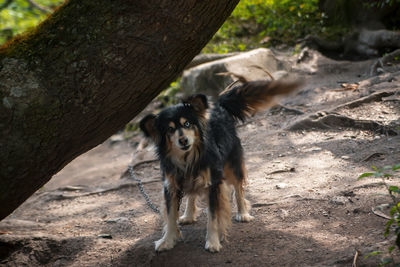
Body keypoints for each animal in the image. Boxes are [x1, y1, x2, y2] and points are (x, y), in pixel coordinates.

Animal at [139, 78, 298, 253]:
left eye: (187, 124)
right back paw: (188, 215)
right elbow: (170, 216)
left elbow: (213, 217)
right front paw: (167, 241)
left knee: (238, 188)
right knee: (192, 194)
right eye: (170, 129)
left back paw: (243, 213)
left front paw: (213, 242)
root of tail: (218, 105)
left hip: (232, 164)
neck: (188, 159)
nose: (183, 141)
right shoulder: (171, 186)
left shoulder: (214, 184)